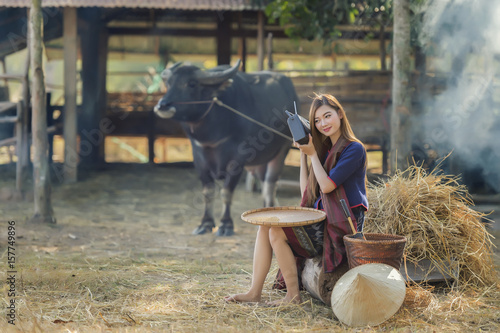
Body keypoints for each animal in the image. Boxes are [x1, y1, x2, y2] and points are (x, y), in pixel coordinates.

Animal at [154, 60, 296, 236]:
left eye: (192, 83)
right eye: (168, 83)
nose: (163, 105)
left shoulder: (237, 160)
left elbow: (226, 192)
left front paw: (225, 224)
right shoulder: (199, 157)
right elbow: (208, 192)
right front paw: (206, 223)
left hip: (281, 151)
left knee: (270, 184)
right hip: (258, 163)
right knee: (264, 183)